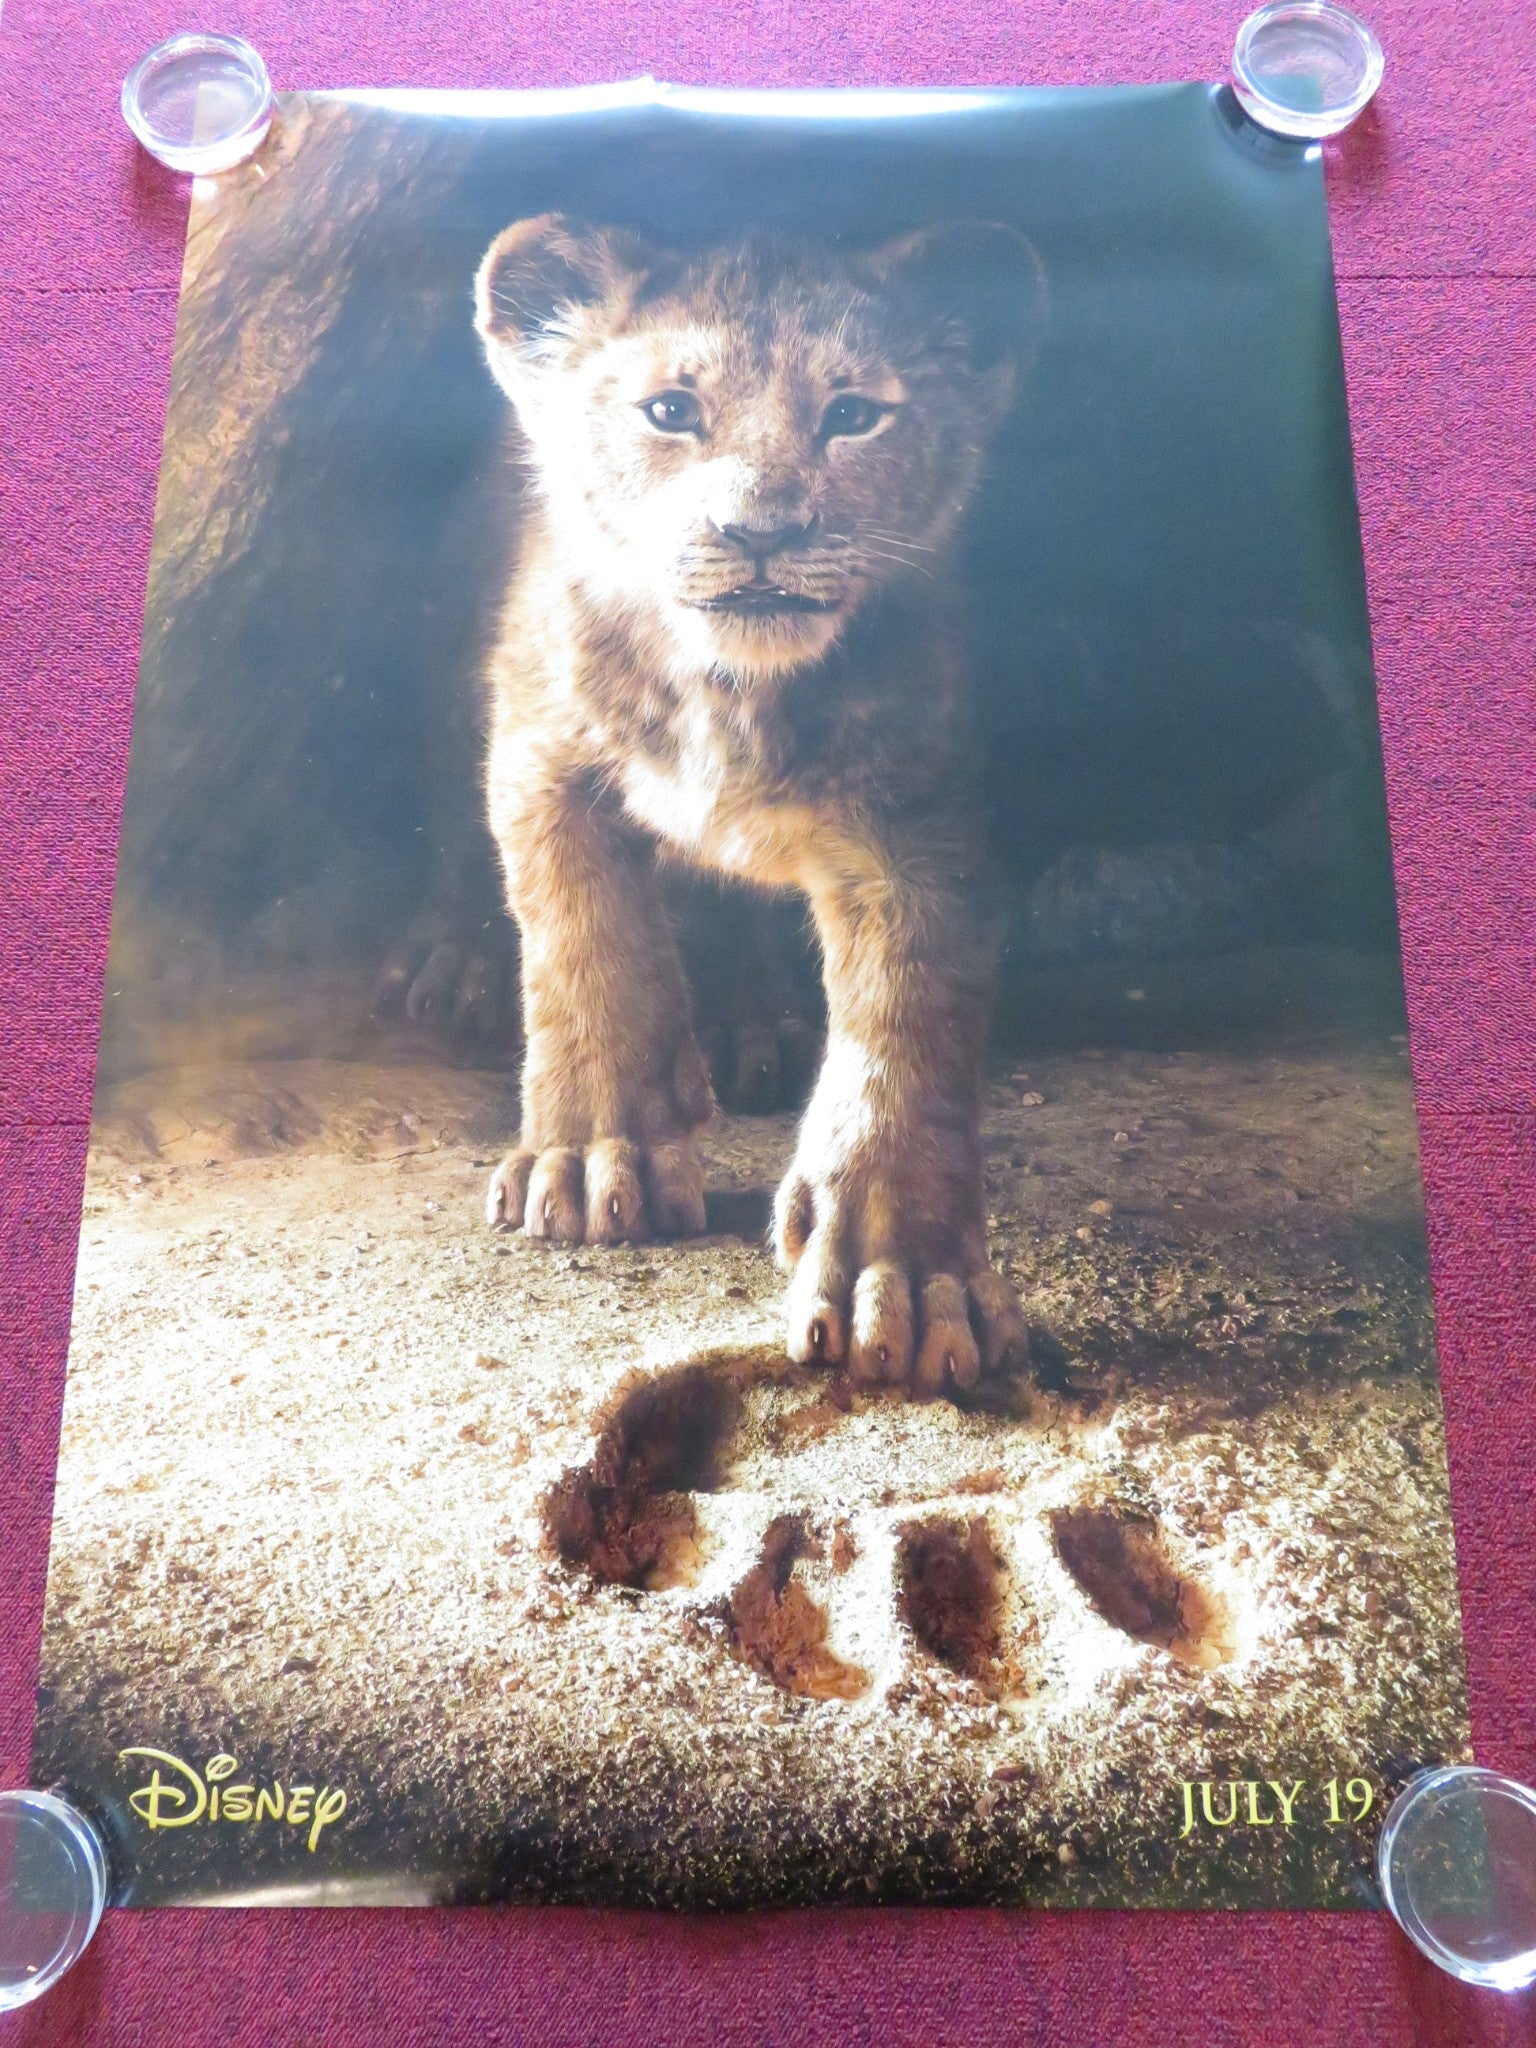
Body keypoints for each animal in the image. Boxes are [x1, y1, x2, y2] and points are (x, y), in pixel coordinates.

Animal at [473, 212, 1045, 1394]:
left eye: (854, 415)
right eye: (669, 411)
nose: (761, 532)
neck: (727, 692)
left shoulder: (917, 821)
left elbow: (904, 1031)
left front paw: (903, 1279)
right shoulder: (541, 752)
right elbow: (583, 948)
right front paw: (589, 1159)